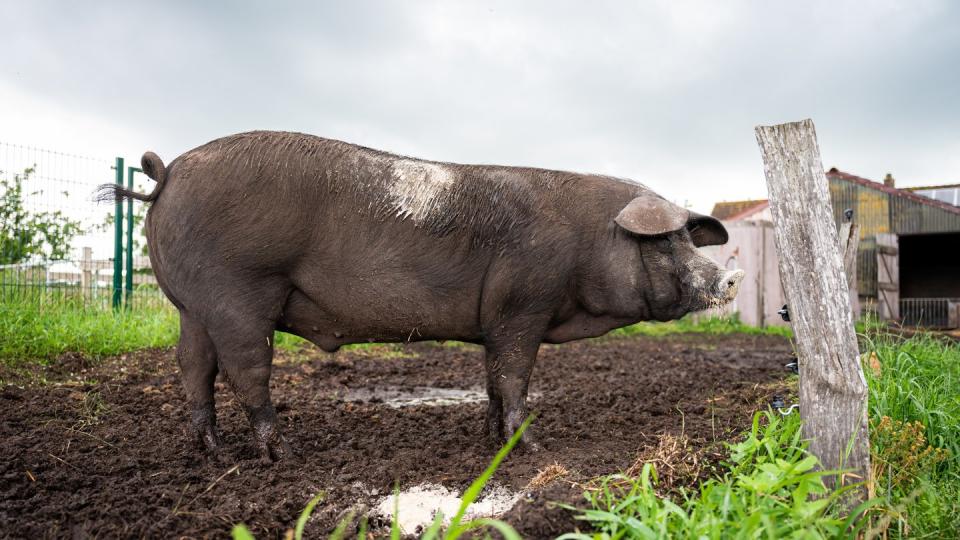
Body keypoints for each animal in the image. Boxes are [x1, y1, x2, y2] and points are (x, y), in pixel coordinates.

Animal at [101, 132, 748, 464]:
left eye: (687, 237)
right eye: (664, 240)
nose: (730, 278)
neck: (588, 241)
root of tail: (167, 173)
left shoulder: (496, 319)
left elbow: (494, 378)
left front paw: (491, 439)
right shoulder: (522, 302)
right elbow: (516, 375)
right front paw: (533, 447)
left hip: (192, 305)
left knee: (193, 368)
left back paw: (212, 454)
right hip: (237, 290)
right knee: (246, 370)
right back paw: (284, 453)